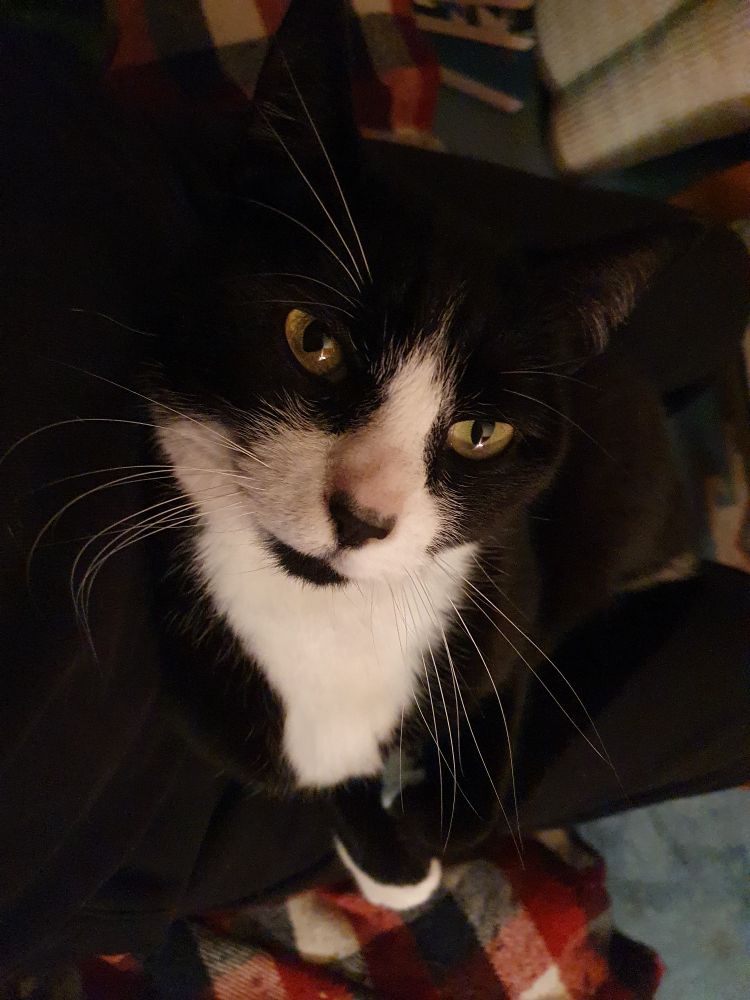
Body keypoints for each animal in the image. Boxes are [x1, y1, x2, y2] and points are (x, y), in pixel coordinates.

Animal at [149, 0, 691, 908]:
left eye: (481, 432)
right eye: (314, 340)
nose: (361, 516)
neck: (330, 621)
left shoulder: (511, 591)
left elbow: (502, 704)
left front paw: (434, 817)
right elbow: (311, 774)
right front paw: (389, 860)